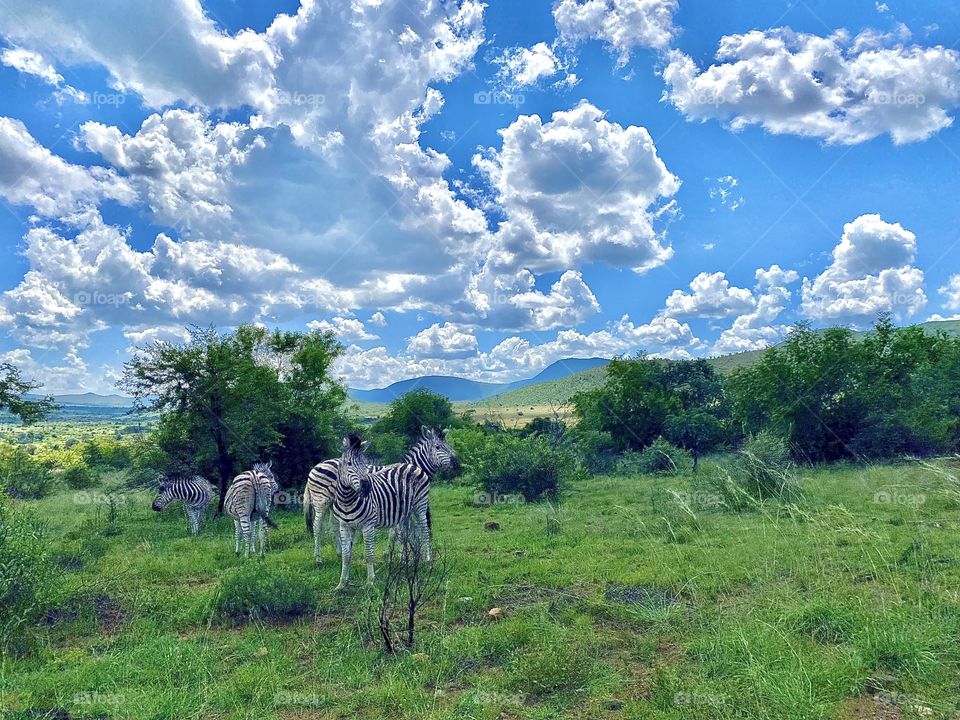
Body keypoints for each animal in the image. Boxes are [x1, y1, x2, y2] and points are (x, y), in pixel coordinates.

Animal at [303, 426, 456, 563]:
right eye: (438, 447)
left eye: (448, 446)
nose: (456, 462)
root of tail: (315, 467)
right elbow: (397, 532)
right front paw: (395, 554)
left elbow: (396, 531)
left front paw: (392, 553)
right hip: (322, 501)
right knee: (317, 526)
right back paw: (318, 558)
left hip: (333, 504)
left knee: (333, 525)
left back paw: (339, 552)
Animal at [332, 434, 432, 589]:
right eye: (348, 463)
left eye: (365, 464)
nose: (366, 487)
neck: (347, 500)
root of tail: (411, 465)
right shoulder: (345, 526)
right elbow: (346, 555)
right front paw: (342, 583)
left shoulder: (368, 526)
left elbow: (368, 555)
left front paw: (370, 582)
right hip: (405, 514)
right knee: (405, 535)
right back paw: (405, 562)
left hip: (420, 507)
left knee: (424, 532)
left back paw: (428, 562)